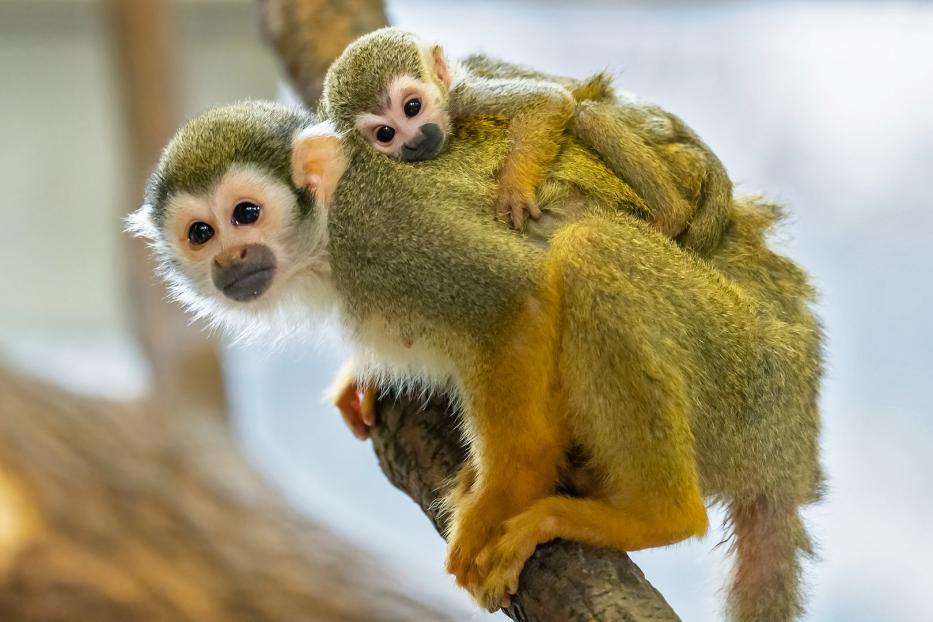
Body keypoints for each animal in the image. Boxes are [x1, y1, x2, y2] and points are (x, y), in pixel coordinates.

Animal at [131, 100, 824, 620]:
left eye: (245, 214)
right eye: (201, 234)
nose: (231, 261)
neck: (325, 238)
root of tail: (791, 456)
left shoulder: (386, 232)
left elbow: (513, 300)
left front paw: (497, 501)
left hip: (744, 382)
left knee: (589, 251)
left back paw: (654, 514)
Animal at [320, 25, 736, 252]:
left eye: (412, 107)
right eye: (385, 134)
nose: (414, 141)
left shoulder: (465, 97)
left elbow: (548, 101)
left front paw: (514, 191)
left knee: (587, 115)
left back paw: (671, 215)